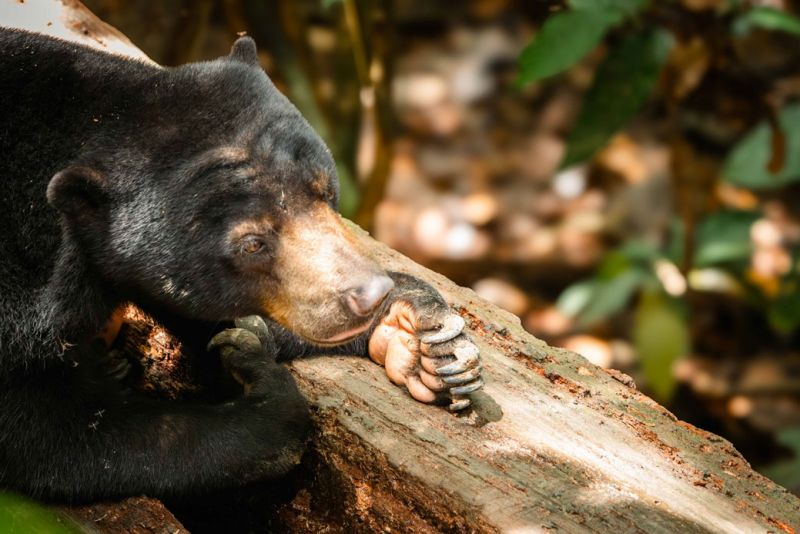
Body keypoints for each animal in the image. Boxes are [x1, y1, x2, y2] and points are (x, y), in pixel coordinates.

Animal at [0, 28, 483, 503]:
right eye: (253, 243)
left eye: (325, 189)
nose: (368, 297)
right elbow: (50, 431)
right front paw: (265, 394)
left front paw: (423, 341)